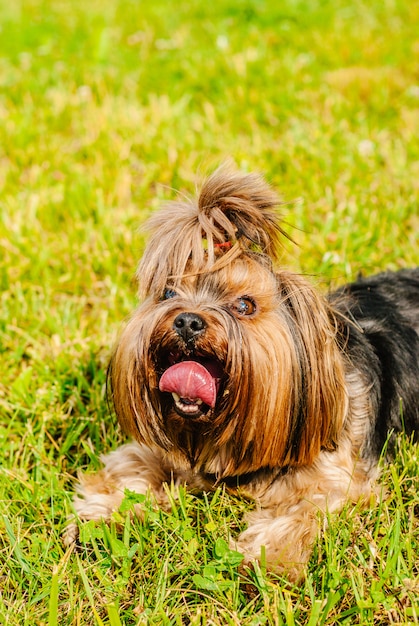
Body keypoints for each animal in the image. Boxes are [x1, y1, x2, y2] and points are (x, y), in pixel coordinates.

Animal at [67, 166, 418, 580]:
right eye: (168, 293)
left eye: (245, 305)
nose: (187, 321)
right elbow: (135, 467)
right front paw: (101, 514)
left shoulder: (337, 477)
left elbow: (306, 509)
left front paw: (266, 562)